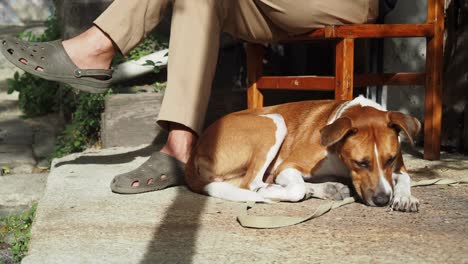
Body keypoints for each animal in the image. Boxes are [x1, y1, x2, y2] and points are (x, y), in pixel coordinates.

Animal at [186, 97, 420, 212]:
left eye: (390, 159)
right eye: (360, 163)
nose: (382, 200)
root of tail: (197, 146)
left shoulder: (398, 166)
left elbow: (405, 177)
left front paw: (405, 197)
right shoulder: (287, 166)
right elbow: (295, 187)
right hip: (274, 121)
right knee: (251, 184)